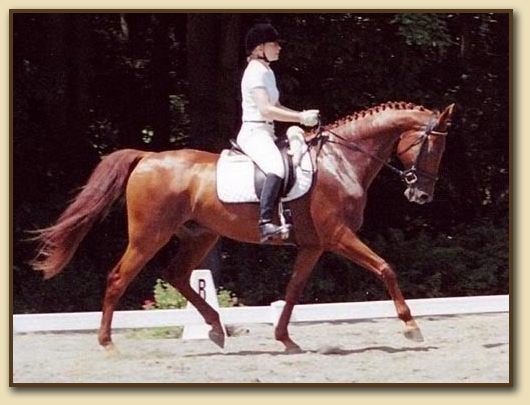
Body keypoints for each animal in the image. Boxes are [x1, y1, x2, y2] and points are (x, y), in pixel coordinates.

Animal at [29, 102, 450, 354]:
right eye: (431, 147)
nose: (421, 195)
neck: (341, 161)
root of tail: (148, 157)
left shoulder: (314, 245)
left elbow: (293, 290)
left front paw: (285, 339)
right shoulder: (339, 236)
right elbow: (385, 268)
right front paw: (411, 326)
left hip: (201, 235)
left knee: (177, 275)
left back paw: (217, 329)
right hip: (150, 235)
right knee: (119, 277)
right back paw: (107, 344)